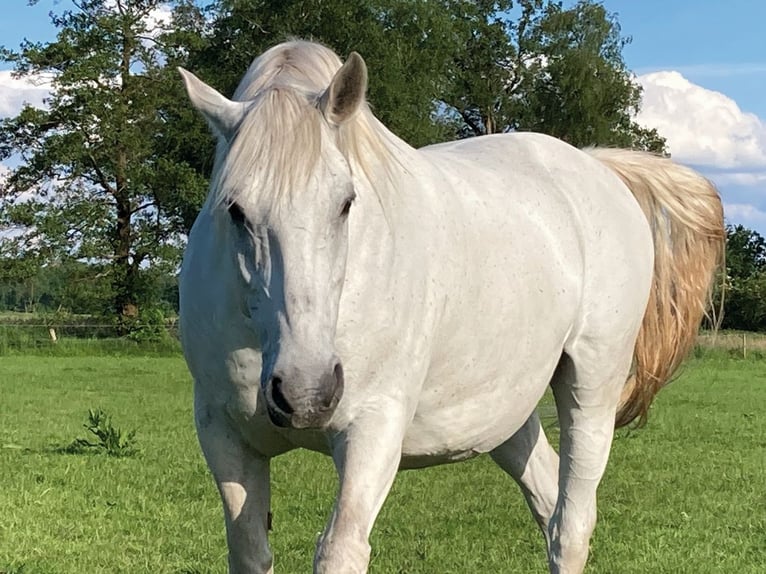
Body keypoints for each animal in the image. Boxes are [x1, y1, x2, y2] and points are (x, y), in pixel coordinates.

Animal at [180, 41, 728, 574]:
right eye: (235, 210)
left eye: (346, 202)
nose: (305, 393)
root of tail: (596, 167)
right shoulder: (223, 436)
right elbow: (249, 548)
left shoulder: (374, 430)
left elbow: (341, 548)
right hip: (508, 411)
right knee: (549, 504)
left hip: (592, 389)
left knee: (571, 527)